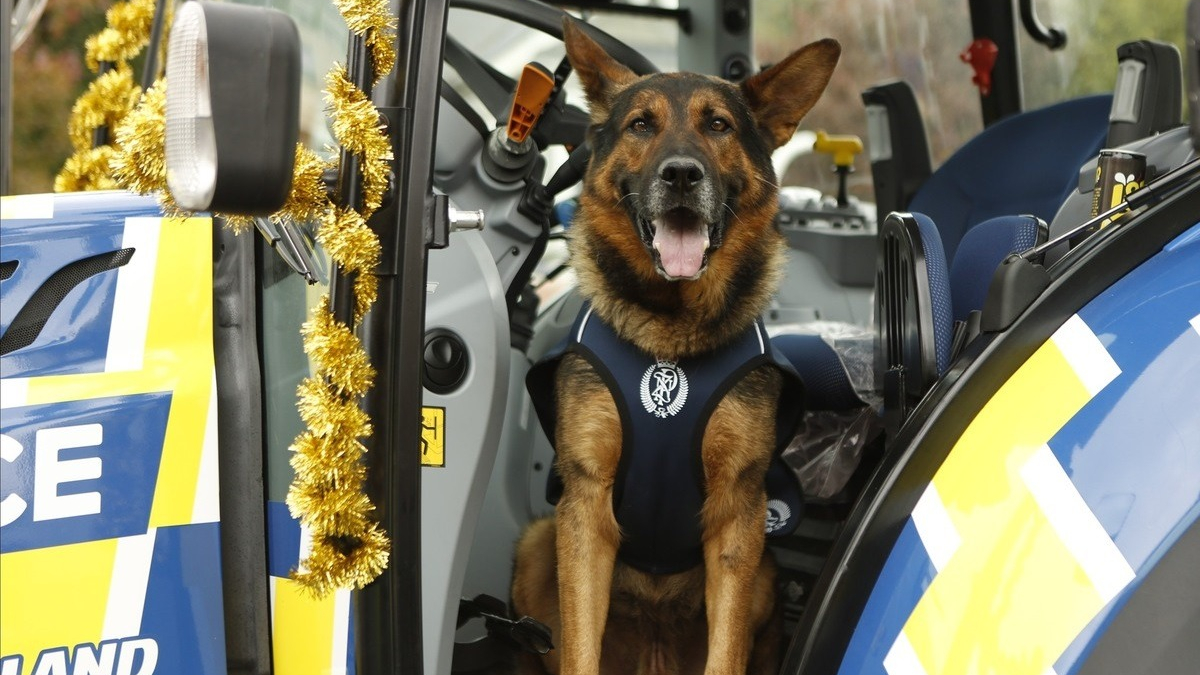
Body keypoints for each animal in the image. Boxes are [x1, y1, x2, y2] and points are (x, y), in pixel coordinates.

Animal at [511, 18, 840, 672]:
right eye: (641, 125)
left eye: (719, 125)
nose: (682, 174)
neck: (670, 336)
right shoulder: (585, 510)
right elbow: (580, 649)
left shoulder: (737, 516)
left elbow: (726, 651)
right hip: (539, 544)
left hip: (763, 572)